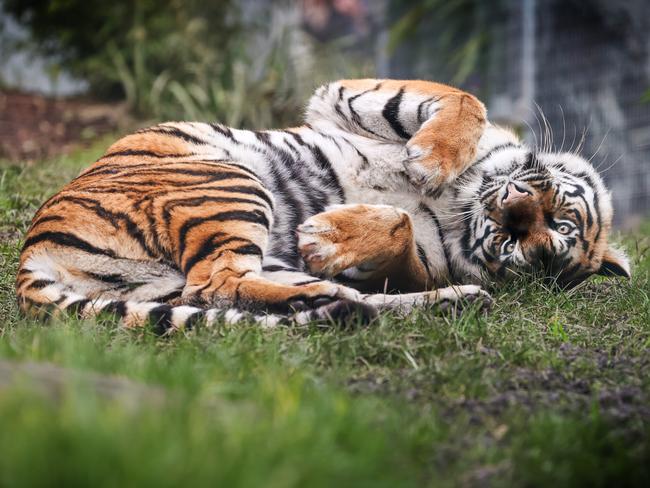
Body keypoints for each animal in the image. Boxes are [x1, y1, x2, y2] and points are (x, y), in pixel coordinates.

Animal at [16, 79, 628, 332]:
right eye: (549, 218)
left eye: (531, 240)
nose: (511, 210)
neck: (464, 200)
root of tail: (30, 258)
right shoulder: (342, 96)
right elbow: (463, 100)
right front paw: (429, 160)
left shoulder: (425, 258)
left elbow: (403, 229)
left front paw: (325, 236)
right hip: (229, 178)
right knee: (216, 285)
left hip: (232, 207)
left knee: (217, 285)